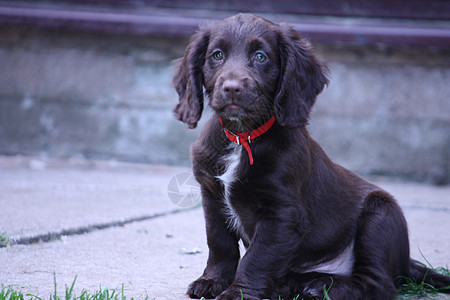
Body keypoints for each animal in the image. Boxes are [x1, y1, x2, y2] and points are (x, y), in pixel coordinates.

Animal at [172, 14, 450, 300]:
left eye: (261, 57)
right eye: (217, 55)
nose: (232, 88)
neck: (243, 137)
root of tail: (406, 262)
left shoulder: (282, 214)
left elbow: (256, 258)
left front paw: (236, 293)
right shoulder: (212, 196)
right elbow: (219, 243)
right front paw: (212, 281)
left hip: (381, 216)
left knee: (379, 283)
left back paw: (324, 287)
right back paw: (294, 285)